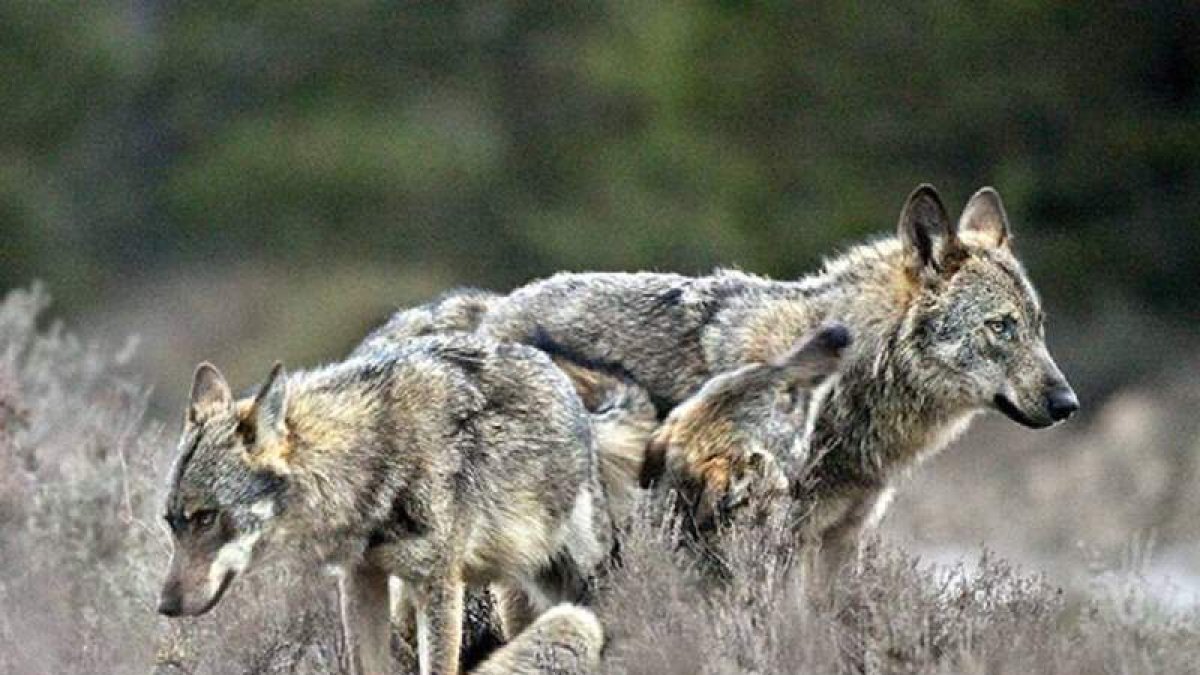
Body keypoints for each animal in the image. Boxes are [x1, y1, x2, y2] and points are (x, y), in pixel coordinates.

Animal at [157, 334, 618, 675]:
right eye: (171, 522)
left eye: (206, 518)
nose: (165, 607)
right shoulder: (360, 578)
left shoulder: (438, 585)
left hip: (579, 597)